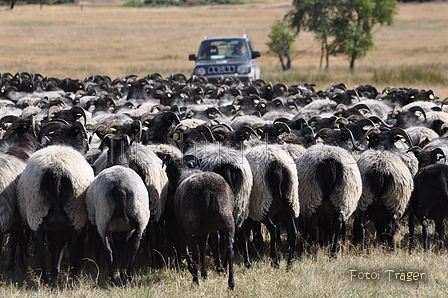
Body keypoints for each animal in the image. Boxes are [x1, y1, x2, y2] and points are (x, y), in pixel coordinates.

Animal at [164, 155, 234, 290]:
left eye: (167, 170)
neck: (185, 172)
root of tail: (207, 189)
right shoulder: (205, 231)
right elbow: (203, 250)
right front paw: (204, 274)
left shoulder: (182, 227)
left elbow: (186, 250)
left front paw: (194, 271)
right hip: (227, 217)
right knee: (230, 250)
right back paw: (231, 283)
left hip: (191, 223)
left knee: (194, 254)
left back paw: (195, 281)